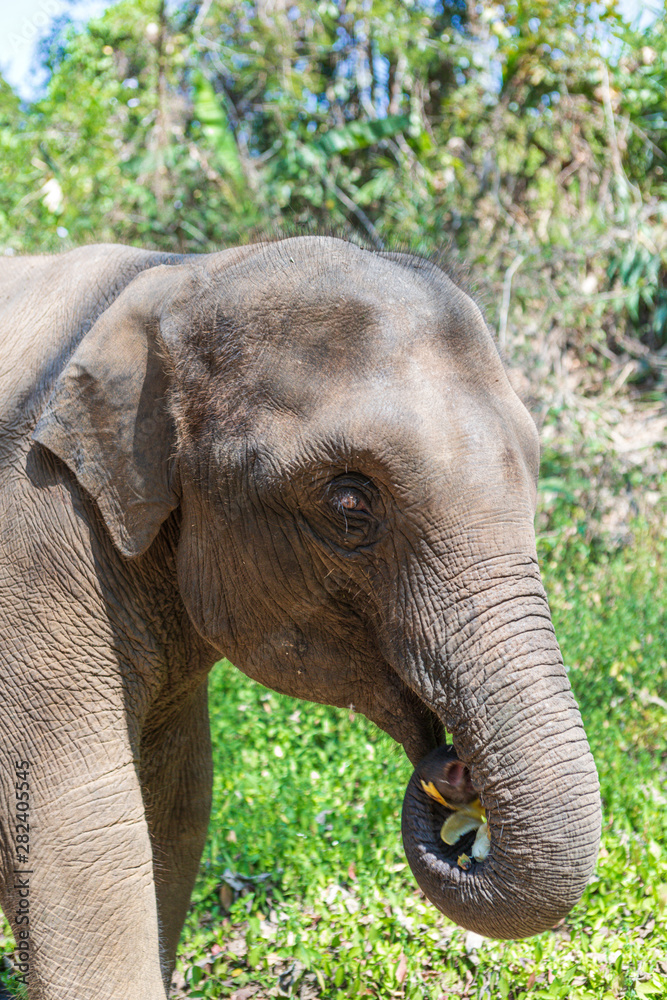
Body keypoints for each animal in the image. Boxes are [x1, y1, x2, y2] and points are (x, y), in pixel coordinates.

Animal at [0, 236, 601, 999]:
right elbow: (77, 835)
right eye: (349, 501)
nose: (455, 766)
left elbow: (177, 798)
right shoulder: (31, 553)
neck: (175, 279)